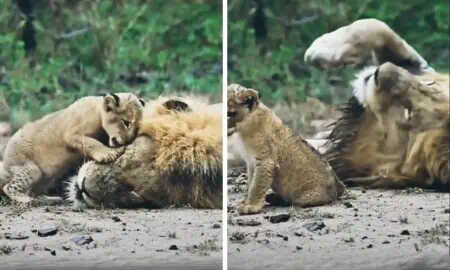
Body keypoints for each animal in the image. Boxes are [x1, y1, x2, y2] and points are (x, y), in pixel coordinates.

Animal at [304, 18, 448, 190]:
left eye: (408, 113)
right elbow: (376, 27)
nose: (382, 70)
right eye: (429, 85)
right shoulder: (418, 65)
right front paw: (321, 48)